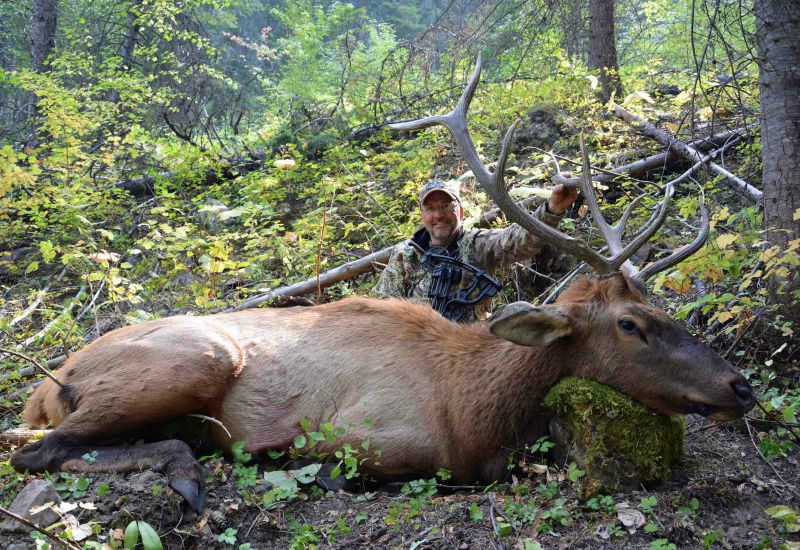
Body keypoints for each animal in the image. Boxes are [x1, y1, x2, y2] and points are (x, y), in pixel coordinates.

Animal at [10, 55, 756, 515]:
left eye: (656, 305)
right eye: (630, 324)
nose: (740, 386)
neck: (472, 409)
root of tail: (46, 384)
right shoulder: (362, 433)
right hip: (195, 360)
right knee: (39, 451)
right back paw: (187, 472)